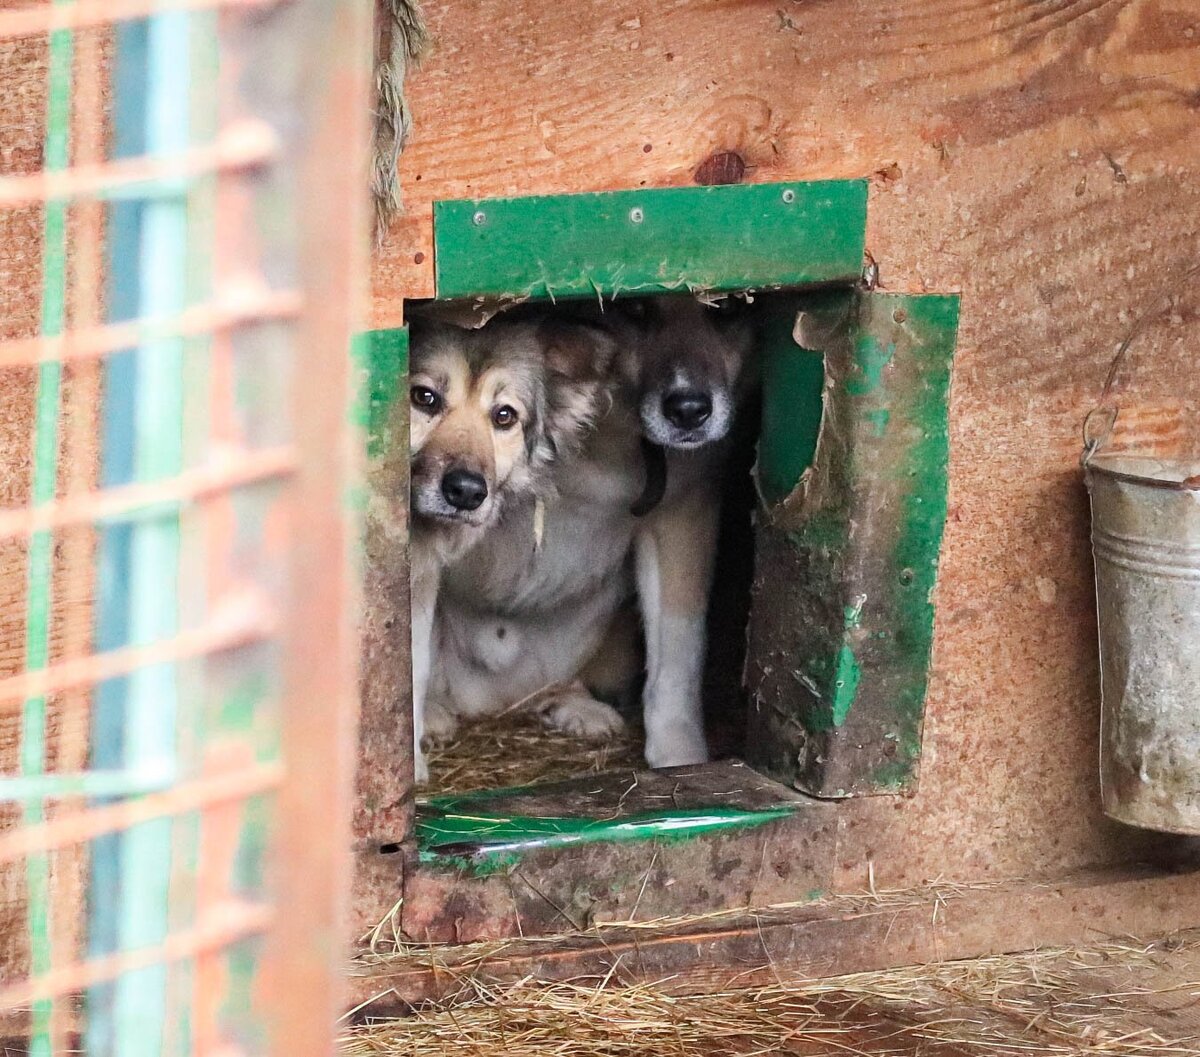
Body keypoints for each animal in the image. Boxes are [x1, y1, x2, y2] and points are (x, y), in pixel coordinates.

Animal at [427, 297, 753, 767]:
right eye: (635, 308)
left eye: (726, 308)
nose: (689, 411)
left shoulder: (681, 516)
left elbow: (678, 657)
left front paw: (681, 760)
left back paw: (581, 709)